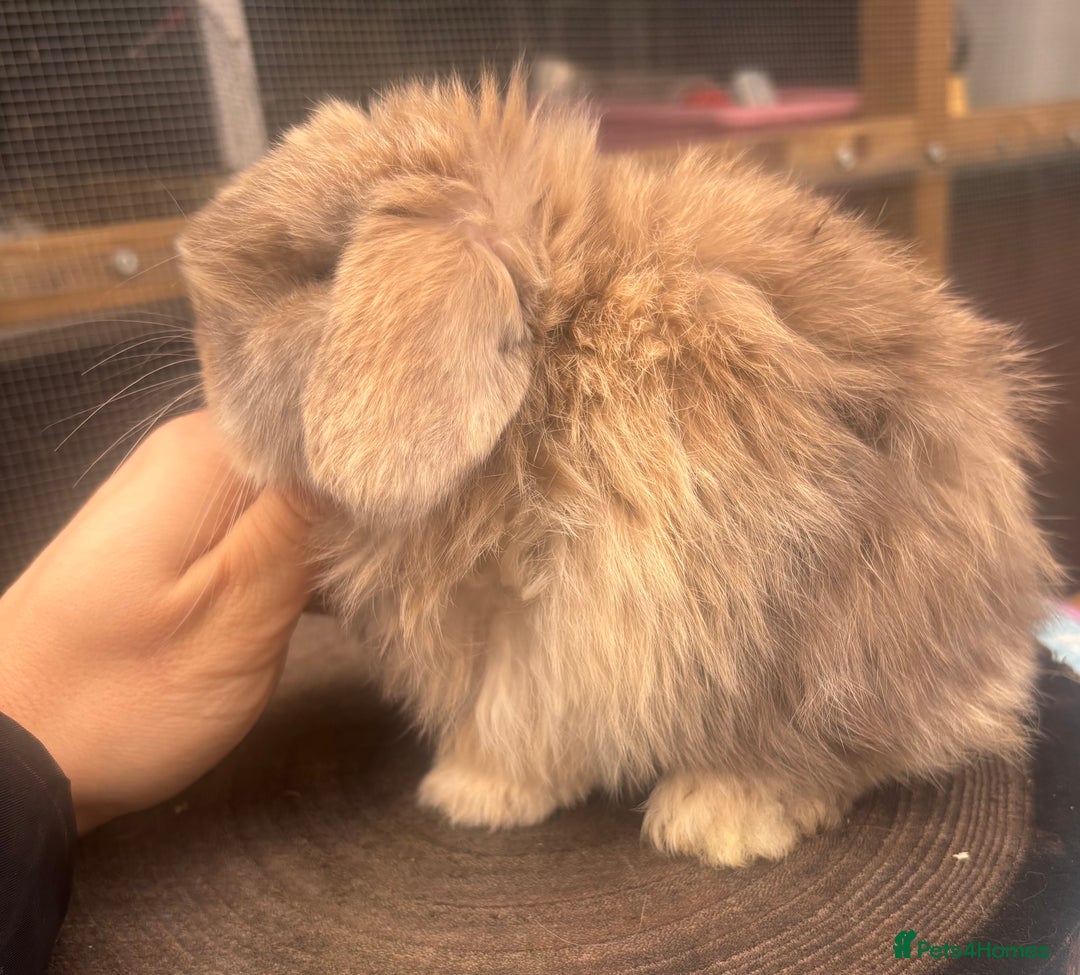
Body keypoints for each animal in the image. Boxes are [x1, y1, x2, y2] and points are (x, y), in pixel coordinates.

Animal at [178, 71, 1061, 868]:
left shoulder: (590, 611)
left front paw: (464, 794)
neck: (559, 338)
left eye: (316, 274)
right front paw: (482, 791)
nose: (204, 358)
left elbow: (517, 707)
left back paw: (717, 819)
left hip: (832, 632)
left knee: (825, 747)